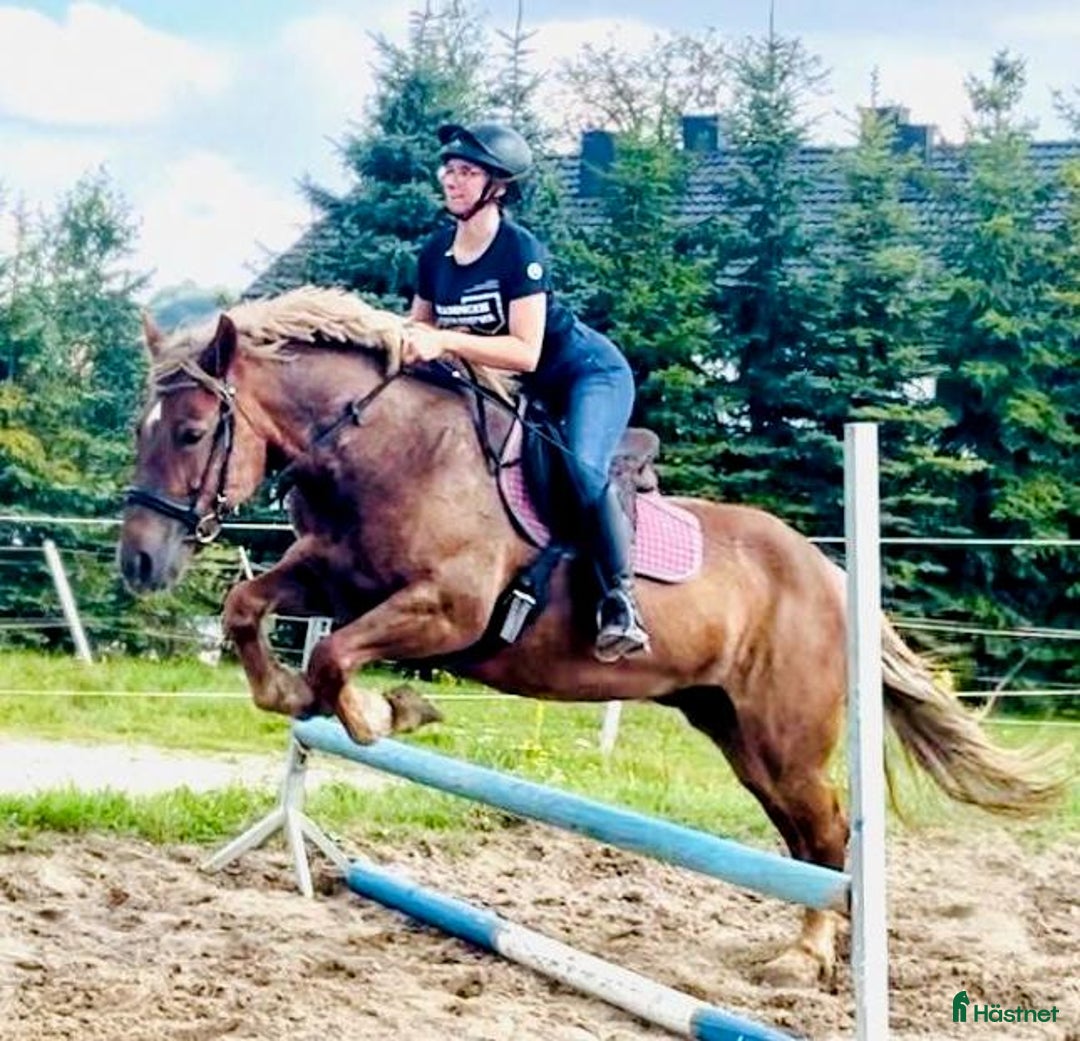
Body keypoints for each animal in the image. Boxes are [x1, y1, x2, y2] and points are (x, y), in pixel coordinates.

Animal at [117, 287, 1065, 988]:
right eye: (140, 431)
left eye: (193, 432)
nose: (138, 562)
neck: (390, 449)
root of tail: (834, 577)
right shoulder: (333, 572)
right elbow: (250, 608)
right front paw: (296, 695)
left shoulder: (448, 608)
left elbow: (333, 652)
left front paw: (389, 712)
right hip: (736, 732)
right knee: (805, 837)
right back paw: (825, 947)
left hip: (784, 736)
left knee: (829, 835)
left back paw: (806, 957)